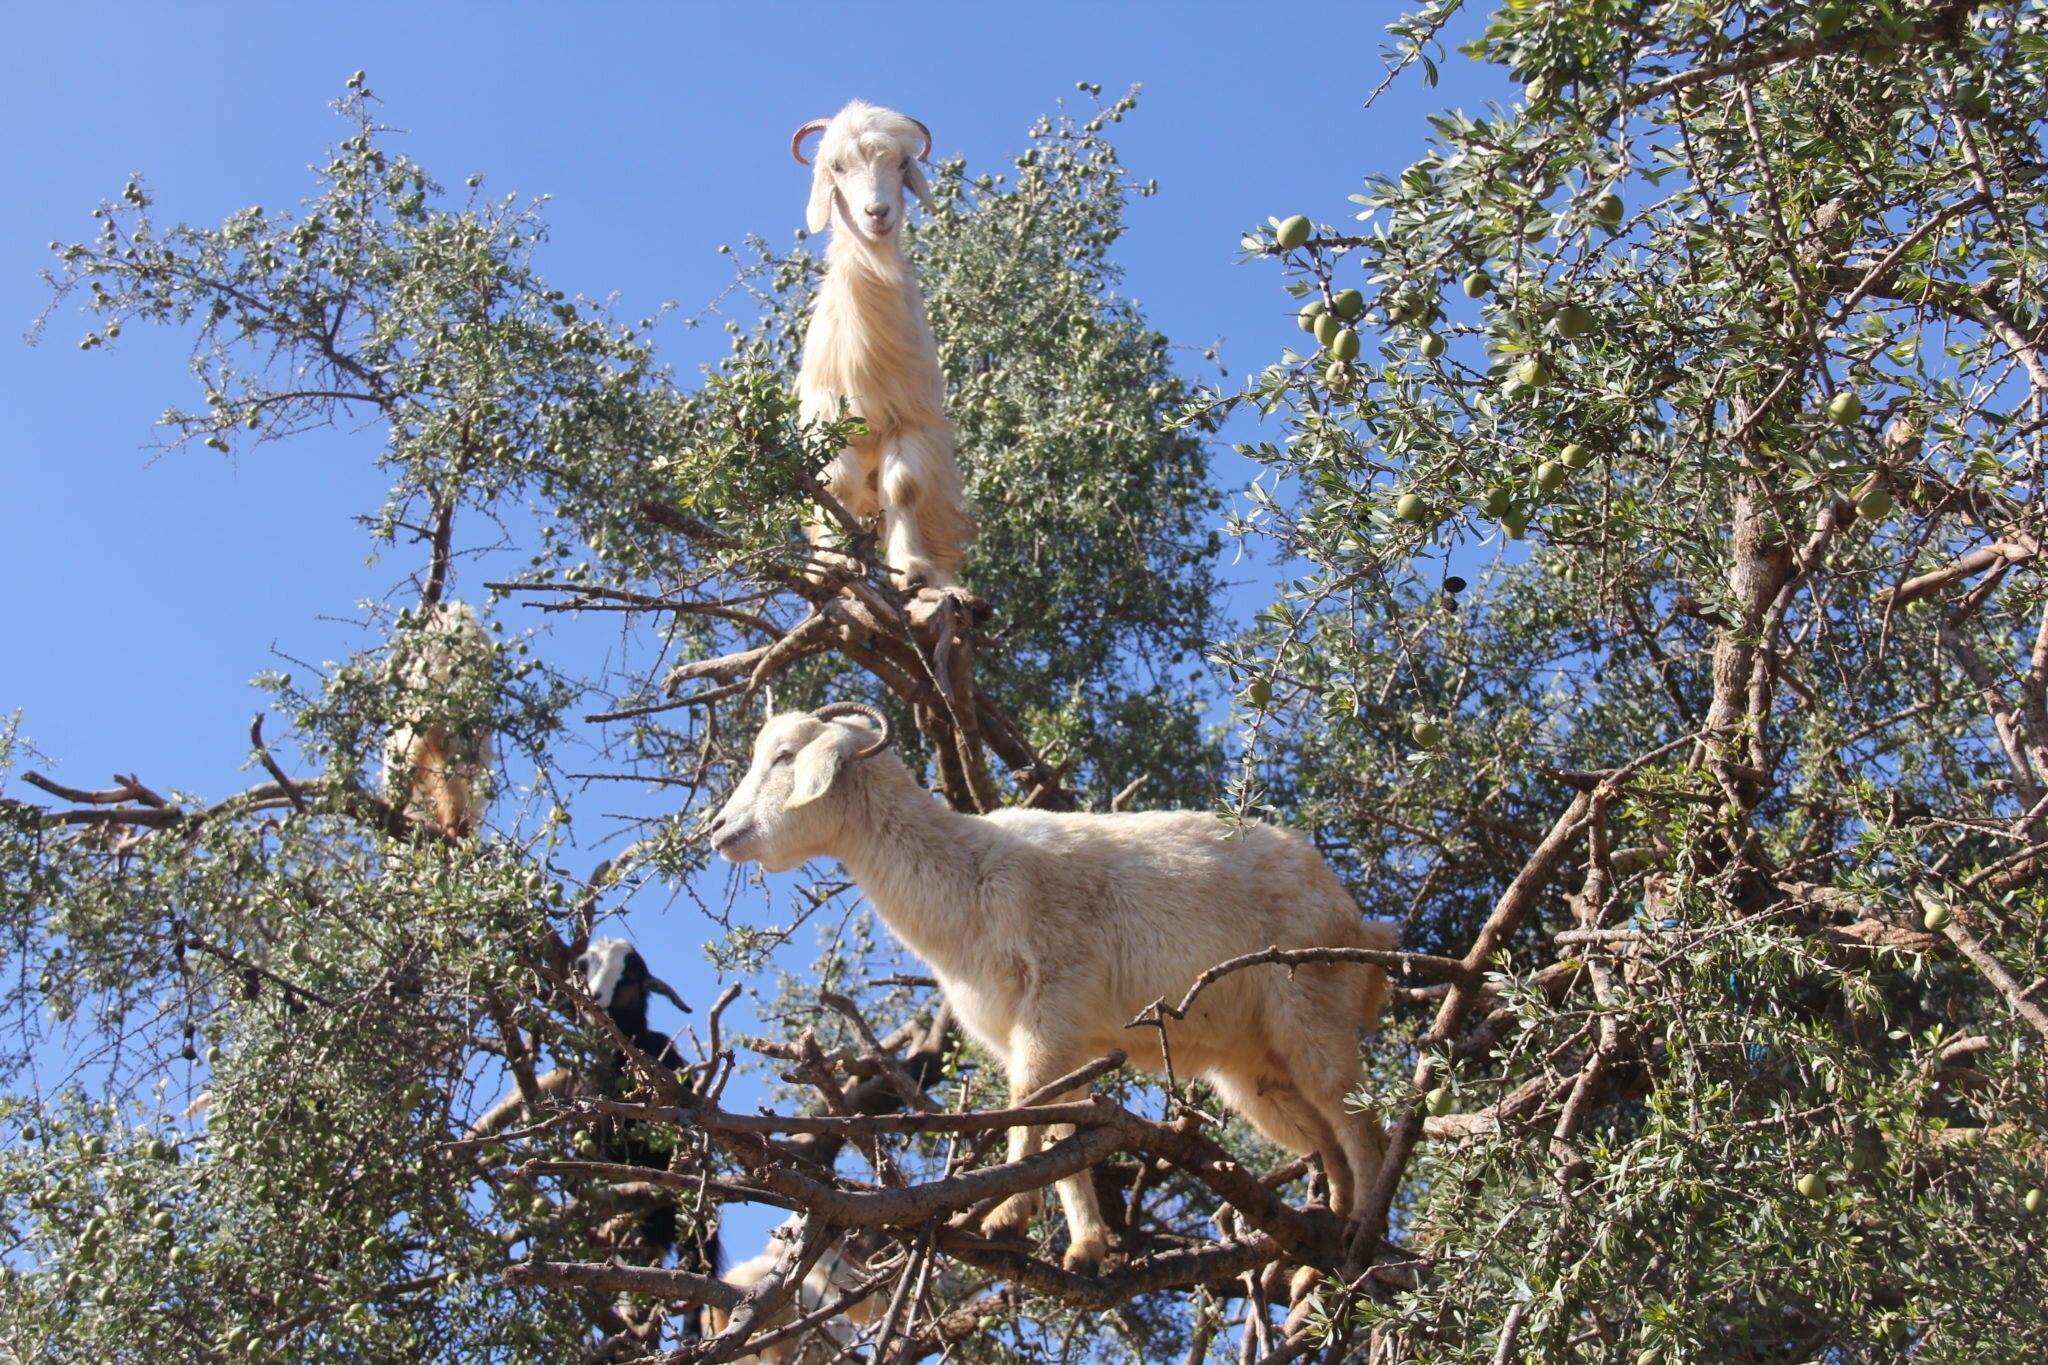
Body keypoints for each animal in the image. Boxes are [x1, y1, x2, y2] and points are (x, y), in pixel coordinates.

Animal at [712, 712, 1400, 1277]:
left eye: (784, 756)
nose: (718, 829)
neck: (968, 879)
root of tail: (1359, 921)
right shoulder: (1050, 1035)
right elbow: (1064, 1125)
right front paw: (1085, 1249)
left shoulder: (1053, 996)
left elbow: (1028, 1103)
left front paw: (1005, 1217)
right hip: (1252, 1070)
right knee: (1323, 1137)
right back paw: (1321, 1243)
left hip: (1312, 1004)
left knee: (1358, 1120)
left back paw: (1362, 1233)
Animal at [786, 96, 970, 589]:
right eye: (836, 166)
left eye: (902, 163)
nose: (877, 213)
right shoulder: (828, 416)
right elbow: (835, 484)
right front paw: (834, 563)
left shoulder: (909, 416)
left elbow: (903, 487)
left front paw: (911, 569)